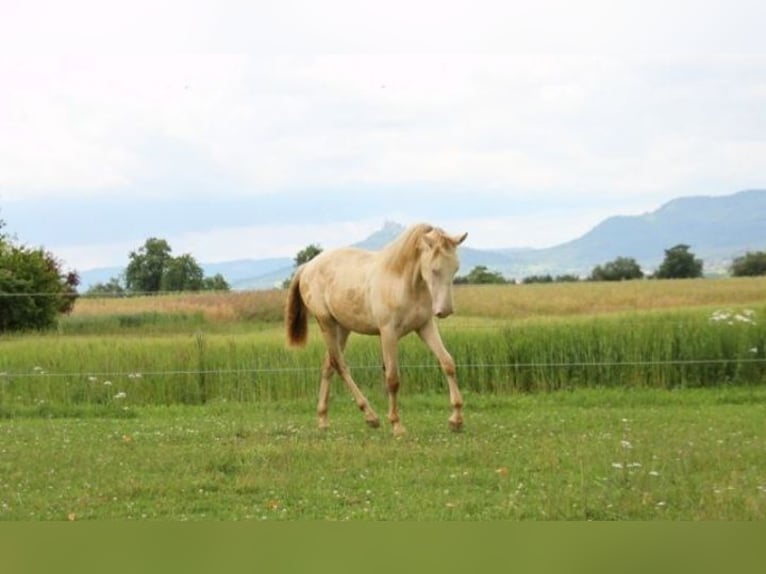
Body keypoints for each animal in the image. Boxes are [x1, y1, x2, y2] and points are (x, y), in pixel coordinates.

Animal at [286, 223, 468, 434]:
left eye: (455, 268)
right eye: (435, 269)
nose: (445, 310)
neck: (402, 281)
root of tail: (307, 267)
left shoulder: (425, 327)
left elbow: (447, 363)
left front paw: (456, 419)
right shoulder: (388, 333)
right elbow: (392, 378)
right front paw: (396, 424)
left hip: (342, 328)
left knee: (328, 365)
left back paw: (323, 419)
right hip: (327, 324)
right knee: (340, 365)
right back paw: (370, 416)